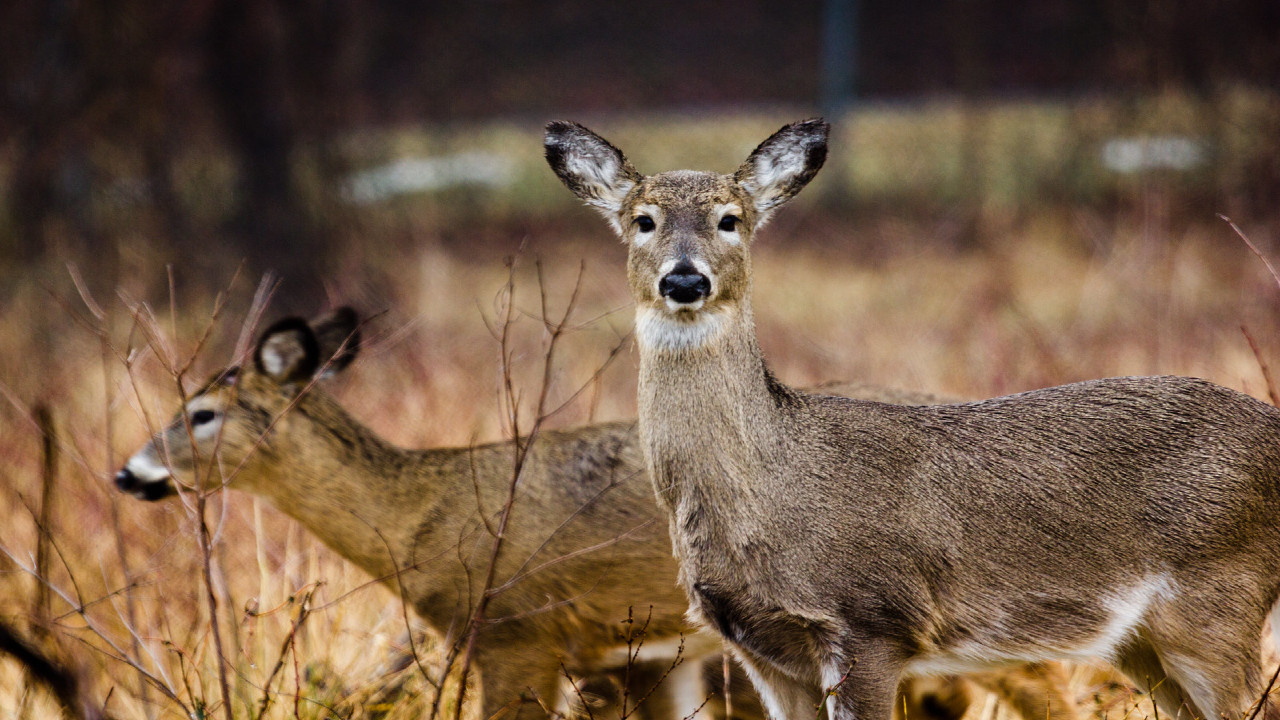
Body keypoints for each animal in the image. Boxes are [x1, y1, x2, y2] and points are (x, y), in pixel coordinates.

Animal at [545, 117, 1280, 717]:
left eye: (731, 219)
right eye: (643, 220)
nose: (685, 280)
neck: (773, 487)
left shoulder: (871, 622)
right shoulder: (762, 651)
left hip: (1220, 601)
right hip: (1142, 643)